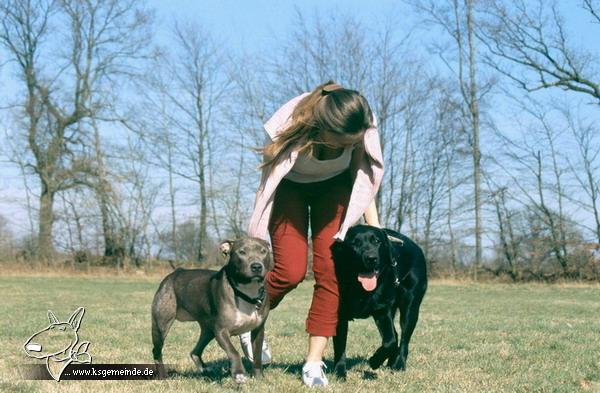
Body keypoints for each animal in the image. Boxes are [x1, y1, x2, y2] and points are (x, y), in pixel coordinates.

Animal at [150, 236, 272, 382]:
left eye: (263, 251)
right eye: (241, 252)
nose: (257, 266)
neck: (247, 290)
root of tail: (175, 273)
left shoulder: (258, 330)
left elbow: (257, 354)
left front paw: (258, 377)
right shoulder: (221, 330)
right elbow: (234, 352)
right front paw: (239, 374)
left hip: (208, 329)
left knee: (195, 351)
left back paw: (205, 369)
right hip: (161, 325)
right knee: (156, 350)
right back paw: (162, 375)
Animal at [332, 224, 426, 376]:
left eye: (377, 241)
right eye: (354, 243)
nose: (371, 258)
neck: (361, 290)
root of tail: (416, 246)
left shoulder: (382, 311)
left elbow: (390, 341)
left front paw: (375, 361)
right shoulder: (340, 315)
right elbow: (340, 346)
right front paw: (339, 372)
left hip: (410, 307)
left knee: (404, 338)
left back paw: (399, 364)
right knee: (397, 334)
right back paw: (390, 362)